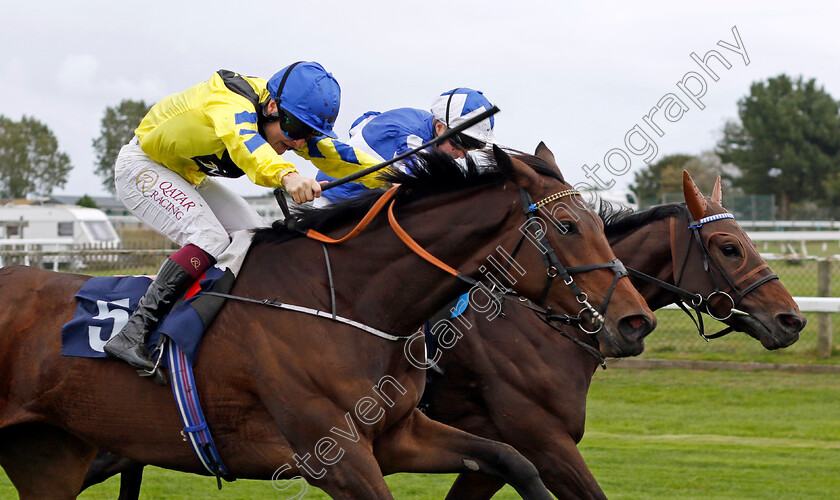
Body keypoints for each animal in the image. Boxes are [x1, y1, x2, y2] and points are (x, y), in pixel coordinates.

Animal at [0, 146, 656, 498]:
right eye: (568, 227)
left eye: (597, 224)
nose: (635, 322)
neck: (349, 305)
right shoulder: (336, 457)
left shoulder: (399, 436)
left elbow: (511, 460)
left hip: (49, 455)